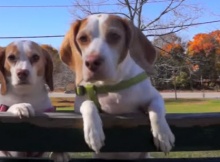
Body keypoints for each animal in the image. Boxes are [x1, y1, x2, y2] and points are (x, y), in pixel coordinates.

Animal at [59, 13, 174, 158]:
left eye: (114, 36)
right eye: (83, 38)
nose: (92, 62)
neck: (112, 86)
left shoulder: (155, 97)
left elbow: (156, 109)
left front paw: (163, 135)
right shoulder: (78, 104)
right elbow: (88, 104)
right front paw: (93, 132)